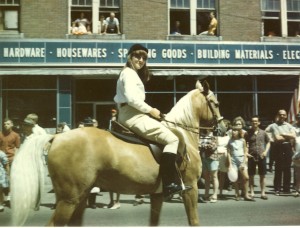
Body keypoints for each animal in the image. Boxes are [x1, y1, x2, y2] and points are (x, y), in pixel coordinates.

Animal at [9, 80, 225, 226]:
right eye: (216, 103)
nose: (223, 129)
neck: (184, 134)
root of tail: (57, 137)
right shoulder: (190, 188)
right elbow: (194, 220)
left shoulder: (157, 194)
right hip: (69, 199)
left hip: (80, 196)